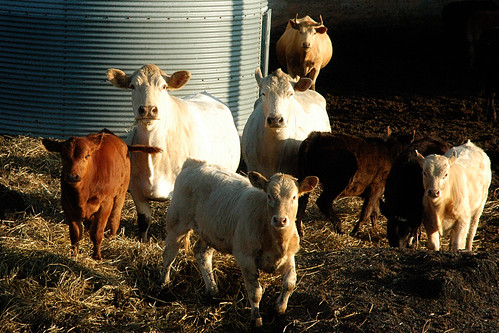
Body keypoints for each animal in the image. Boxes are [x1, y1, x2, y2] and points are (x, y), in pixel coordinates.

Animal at [43, 128, 161, 258]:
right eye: (63, 156)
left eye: (86, 156)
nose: (72, 176)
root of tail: (121, 142)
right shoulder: (67, 204)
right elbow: (75, 233)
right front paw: (74, 254)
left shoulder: (105, 204)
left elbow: (97, 232)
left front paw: (96, 256)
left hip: (121, 193)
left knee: (114, 219)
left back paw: (112, 239)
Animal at [106, 64, 241, 241]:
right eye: (133, 86)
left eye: (164, 86)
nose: (148, 109)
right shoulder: (135, 188)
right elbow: (143, 220)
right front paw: (143, 241)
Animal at [164, 158, 320, 324]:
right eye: (269, 196)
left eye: (294, 197)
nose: (279, 220)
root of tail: (194, 163)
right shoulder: (245, 257)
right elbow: (255, 292)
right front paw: (256, 318)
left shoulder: (289, 255)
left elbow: (290, 283)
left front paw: (279, 308)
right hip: (177, 222)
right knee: (169, 254)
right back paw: (164, 284)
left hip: (212, 232)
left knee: (202, 253)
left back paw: (212, 288)